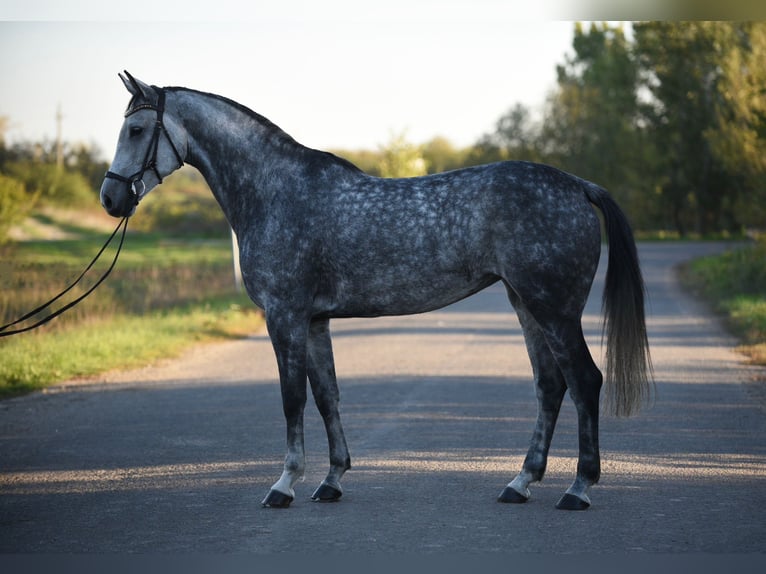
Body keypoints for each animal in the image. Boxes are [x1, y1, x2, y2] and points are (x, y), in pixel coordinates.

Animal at [100, 73, 656, 512]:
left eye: (136, 129)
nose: (110, 198)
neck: (275, 191)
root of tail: (578, 185)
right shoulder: (314, 321)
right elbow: (326, 395)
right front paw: (331, 480)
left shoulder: (284, 316)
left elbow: (291, 398)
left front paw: (283, 485)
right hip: (526, 304)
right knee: (550, 385)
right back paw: (519, 483)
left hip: (554, 309)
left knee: (584, 381)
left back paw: (578, 489)